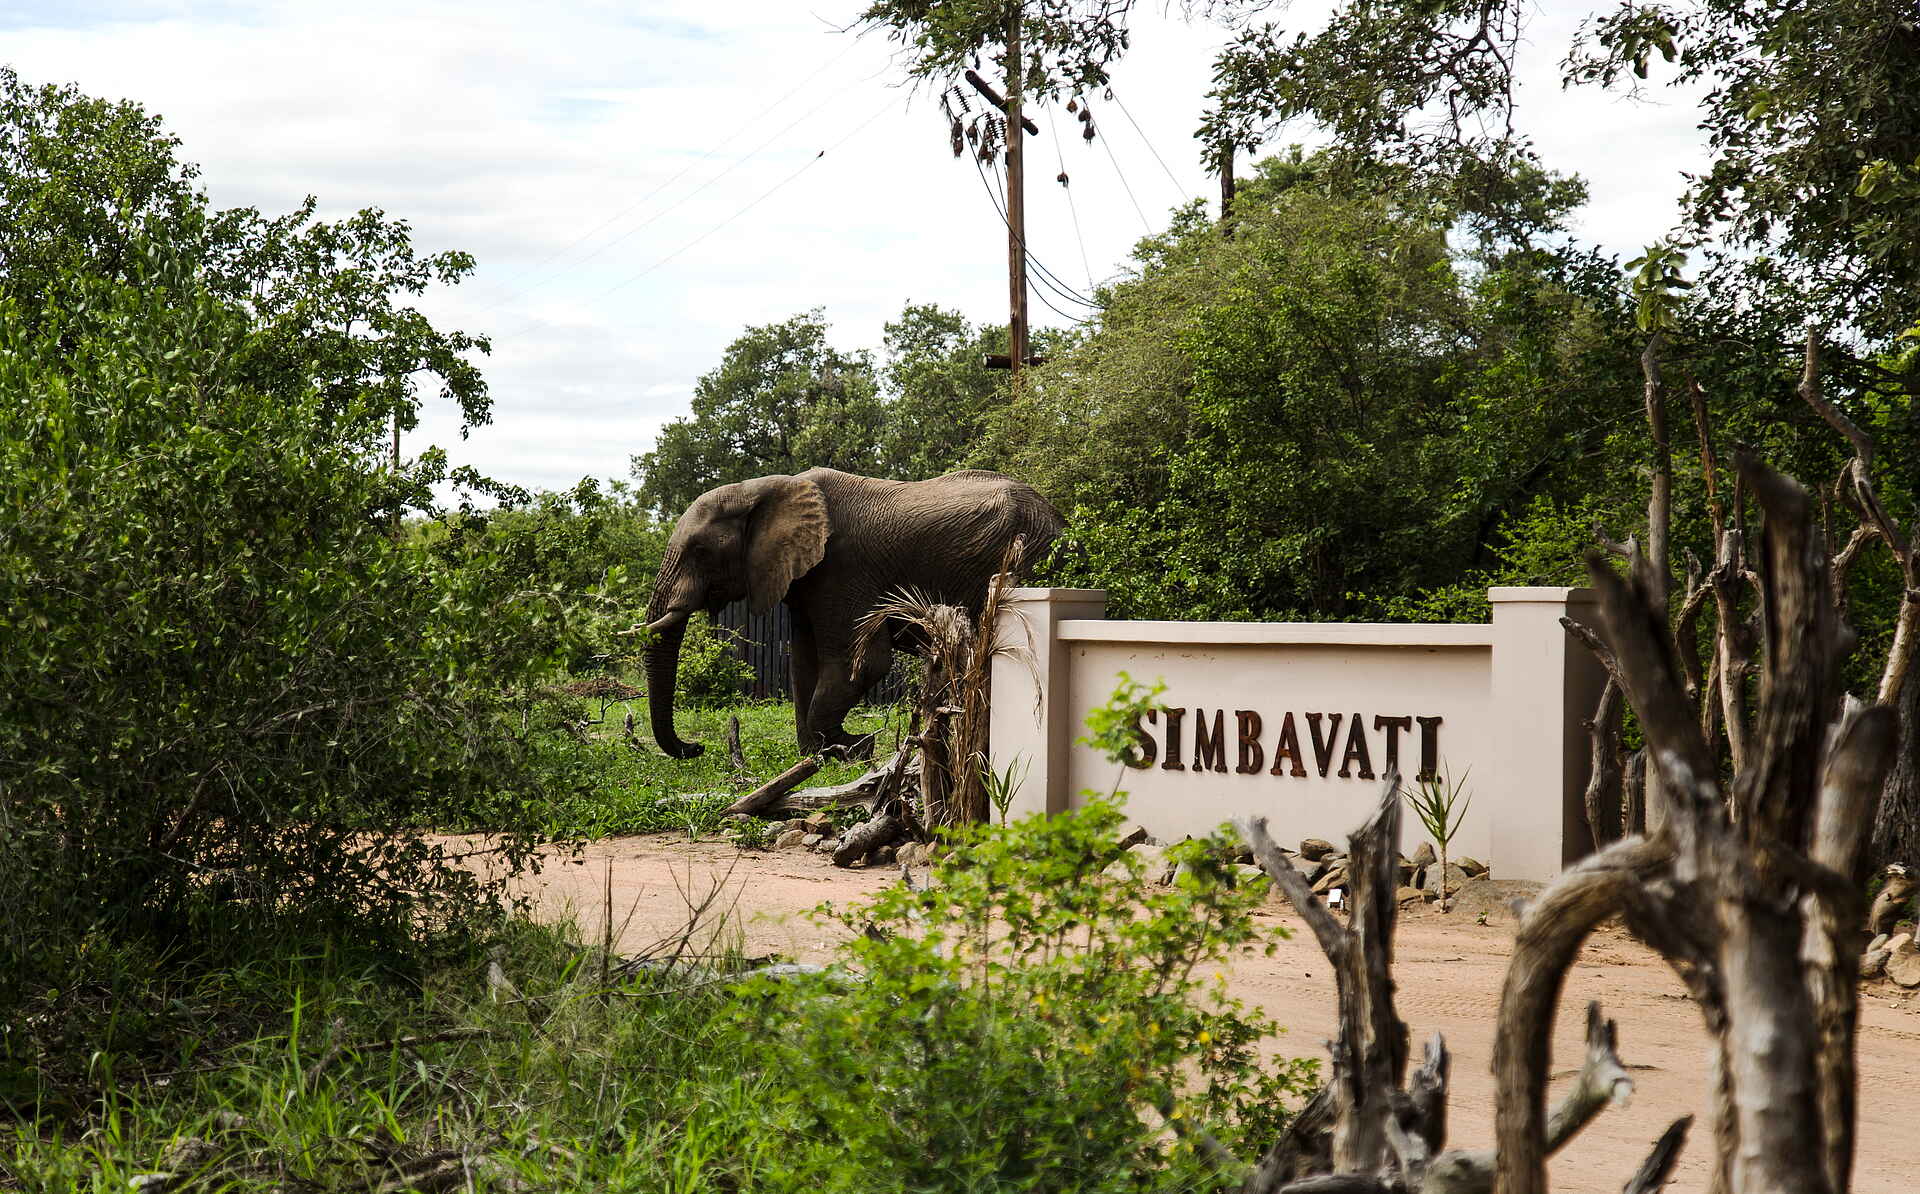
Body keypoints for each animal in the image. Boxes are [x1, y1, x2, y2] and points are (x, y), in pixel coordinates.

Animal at [640, 467, 1064, 759]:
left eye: (699, 551)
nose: (696, 748)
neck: (766, 488)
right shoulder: (804, 576)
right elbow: (803, 664)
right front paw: (816, 756)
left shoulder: (843, 569)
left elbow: (860, 662)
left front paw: (853, 748)